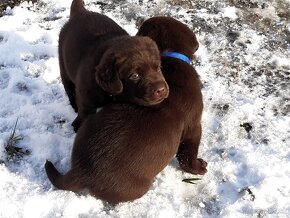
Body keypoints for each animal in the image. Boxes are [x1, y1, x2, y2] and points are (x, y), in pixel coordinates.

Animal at [45, 16, 207, 204]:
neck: (172, 55)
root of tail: (80, 171)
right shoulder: (194, 125)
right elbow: (188, 154)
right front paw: (198, 168)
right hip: (137, 187)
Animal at [60, 0, 169, 130]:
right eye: (134, 76)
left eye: (158, 67)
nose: (161, 90)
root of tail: (81, 12)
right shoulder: (85, 97)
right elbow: (84, 114)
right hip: (63, 65)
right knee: (69, 88)